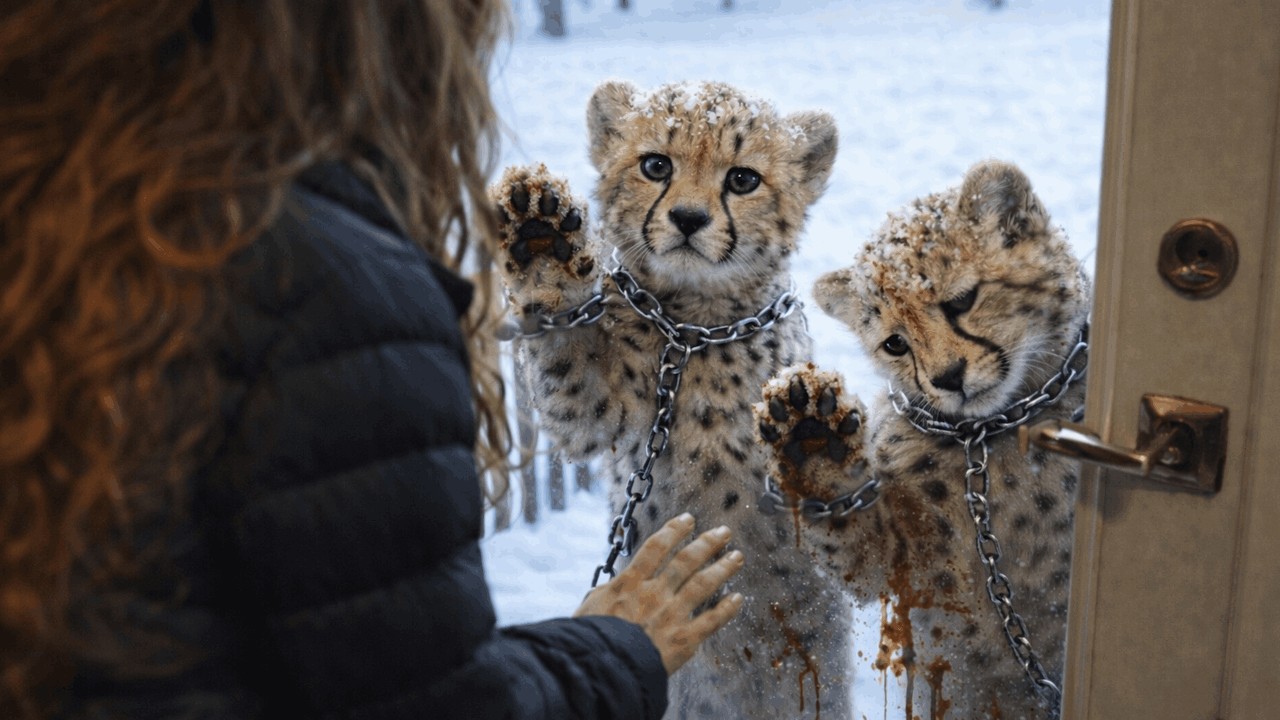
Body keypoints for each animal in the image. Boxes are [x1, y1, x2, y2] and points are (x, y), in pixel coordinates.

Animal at [489, 80, 853, 720]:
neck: (691, 331)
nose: (688, 218)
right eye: (656, 165)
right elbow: (566, 366)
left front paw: (813, 433)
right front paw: (541, 237)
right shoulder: (594, 413)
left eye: (742, 179)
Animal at [754, 160, 1090, 719]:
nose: (949, 378)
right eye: (895, 343)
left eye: (962, 300)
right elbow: (853, 536)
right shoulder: (904, 566)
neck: (990, 434)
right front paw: (810, 432)